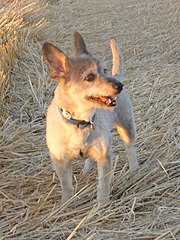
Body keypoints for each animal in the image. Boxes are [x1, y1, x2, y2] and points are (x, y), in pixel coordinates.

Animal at [42, 32, 139, 204]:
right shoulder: (60, 161)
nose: (119, 86)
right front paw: (65, 204)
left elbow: (103, 185)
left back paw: (134, 168)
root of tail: (117, 75)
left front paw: (102, 204)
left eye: (105, 70)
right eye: (90, 77)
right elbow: (66, 185)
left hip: (126, 125)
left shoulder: (104, 156)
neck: (80, 122)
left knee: (130, 147)